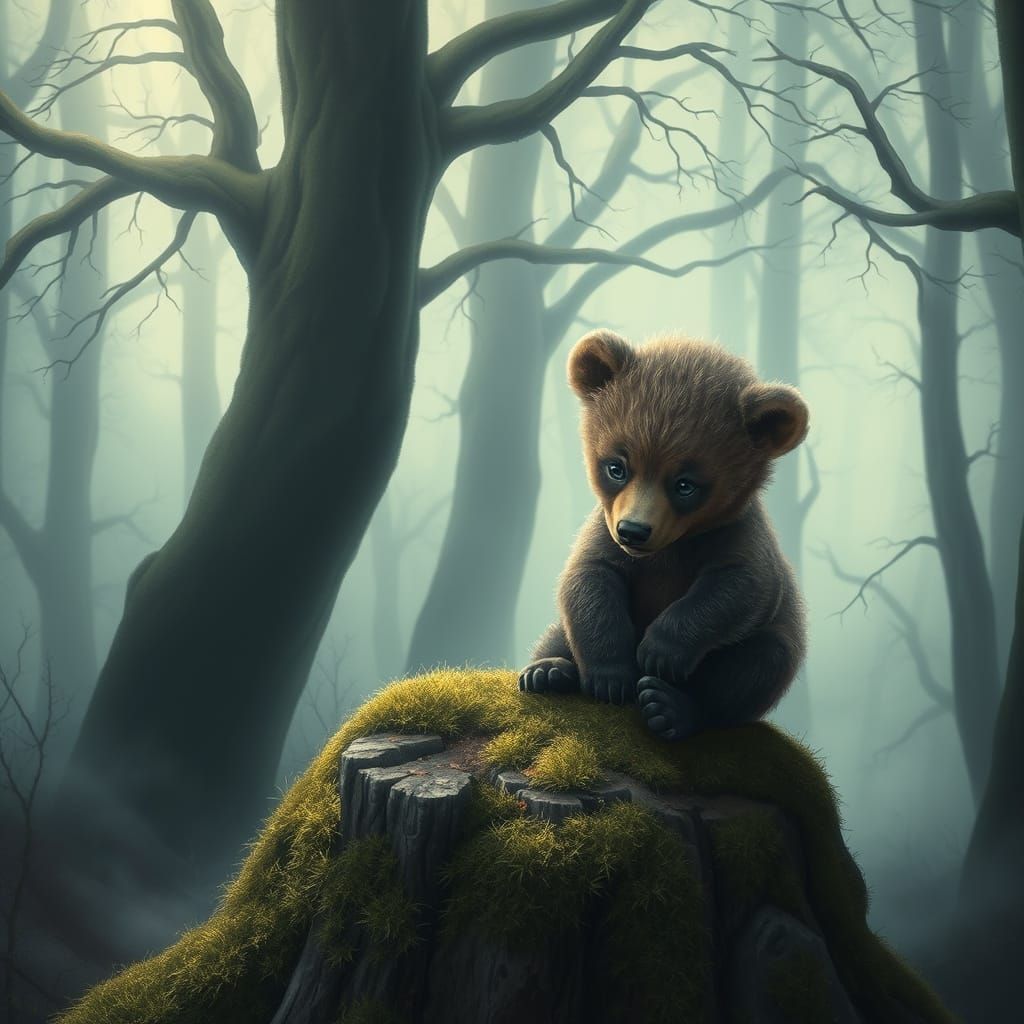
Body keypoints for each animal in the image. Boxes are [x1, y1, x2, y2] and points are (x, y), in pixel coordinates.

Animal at [518, 329, 808, 740]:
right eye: (617, 467)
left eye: (685, 484)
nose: (634, 531)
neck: (668, 548)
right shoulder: (603, 532)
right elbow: (588, 581)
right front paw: (610, 678)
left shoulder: (736, 535)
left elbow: (740, 588)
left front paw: (658, 652)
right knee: (558, 632)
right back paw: (548, 671)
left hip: (768, 645)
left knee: (755, 667)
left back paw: (669, 707)